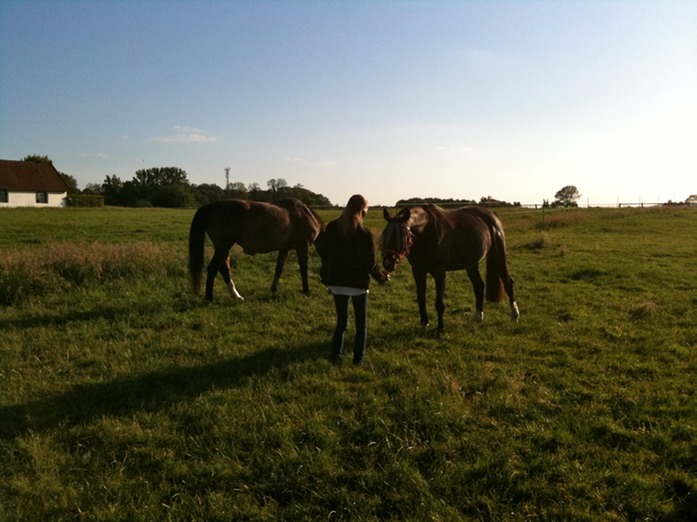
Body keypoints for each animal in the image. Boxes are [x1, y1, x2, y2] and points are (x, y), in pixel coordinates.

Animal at [188, 196, 324, 300]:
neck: (305, 214)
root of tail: (213, 206)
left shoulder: (284, 249)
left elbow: (279, 269)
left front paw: (273, 288)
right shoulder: (302, 247)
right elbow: (303, 270)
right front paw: (306, 291)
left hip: (224, 249)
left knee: (223, 269)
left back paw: (236, 296)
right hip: (223, 247)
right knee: (213, 269)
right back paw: (209, 298)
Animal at [380, 204, 516, 332]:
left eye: (402, 236)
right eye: (385, 234)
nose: (388, 263)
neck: (427, 231)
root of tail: (492, 215)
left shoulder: (440, 273)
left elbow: (439, 304)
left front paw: (440, 329)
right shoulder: (418, 272)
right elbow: (421, 299)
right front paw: (423, 325)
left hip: (498, 257)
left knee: (508, 283)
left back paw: (514, 315)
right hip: (471, 264)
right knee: (479, 286)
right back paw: (478, 317)